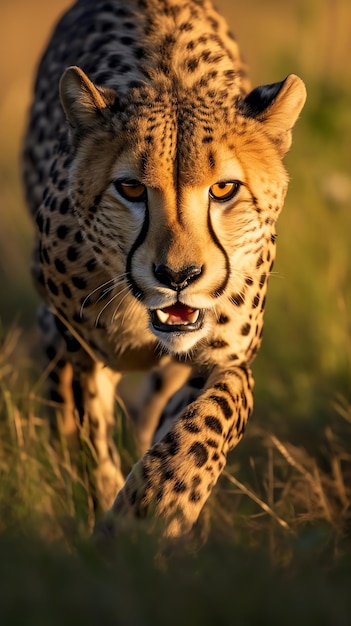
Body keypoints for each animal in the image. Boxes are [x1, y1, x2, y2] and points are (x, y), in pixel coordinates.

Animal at [23, 0, 306, 536]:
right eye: (131, 188)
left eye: (224, 189)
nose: (178, 278)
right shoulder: (77, 343)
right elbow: (89, 435)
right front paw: (110, 511)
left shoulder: (226, 356)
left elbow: (212, 415)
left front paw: (157, 503)